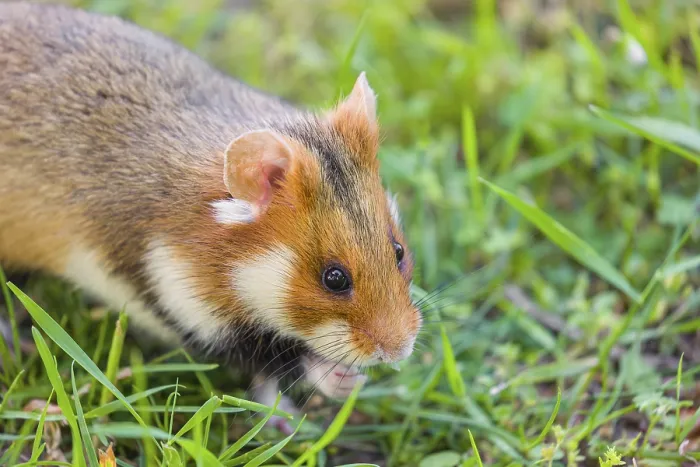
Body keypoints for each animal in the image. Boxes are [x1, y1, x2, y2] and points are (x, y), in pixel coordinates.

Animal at [0, 2, 421, 427]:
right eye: (333, 278)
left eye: (398, 252)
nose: (400, 351)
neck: (233, 260)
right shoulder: (183, 302)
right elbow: (271, 364)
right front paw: (332, 388)